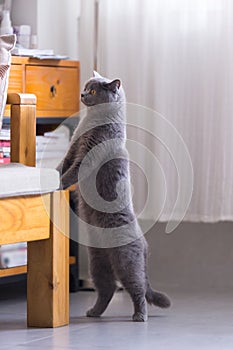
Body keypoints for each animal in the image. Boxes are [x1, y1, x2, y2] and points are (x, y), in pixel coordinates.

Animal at [57, 72, 171, 322]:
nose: (82, 94)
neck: (90, 124)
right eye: (85, 87)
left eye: (92, 91)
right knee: (107, 289)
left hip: (126, 262)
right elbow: (63, 164)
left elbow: (72, 172)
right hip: (97, 263)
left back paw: (139, 316)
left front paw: (58, 183)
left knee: (137, 289)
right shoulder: (73, 149)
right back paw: (93, 312)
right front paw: (50, 173)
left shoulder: (86, 156)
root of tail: (144, 245)